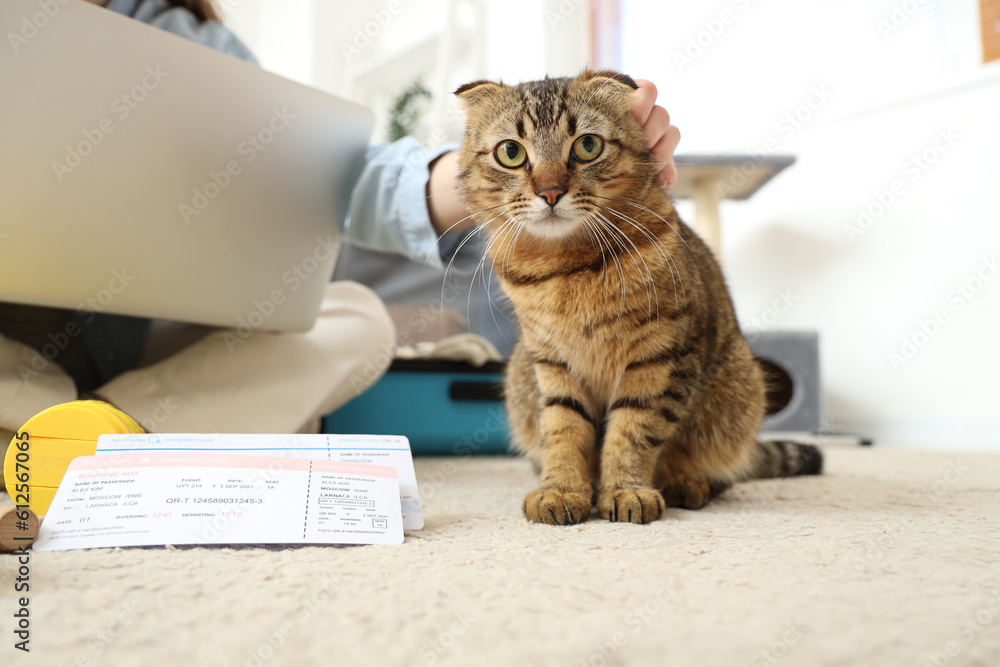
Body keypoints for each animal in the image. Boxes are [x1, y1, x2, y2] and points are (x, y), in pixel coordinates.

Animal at [454, 70, 820, 524]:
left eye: (587, 146)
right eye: (510, 152)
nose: (551, 192)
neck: (567, 268)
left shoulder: (659, 356)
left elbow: (633, 431)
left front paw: (626, 490)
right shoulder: (551, 362)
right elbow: (562, 429)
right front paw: (562, 489)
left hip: (740, 389)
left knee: (720, 471)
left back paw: (689, 483)